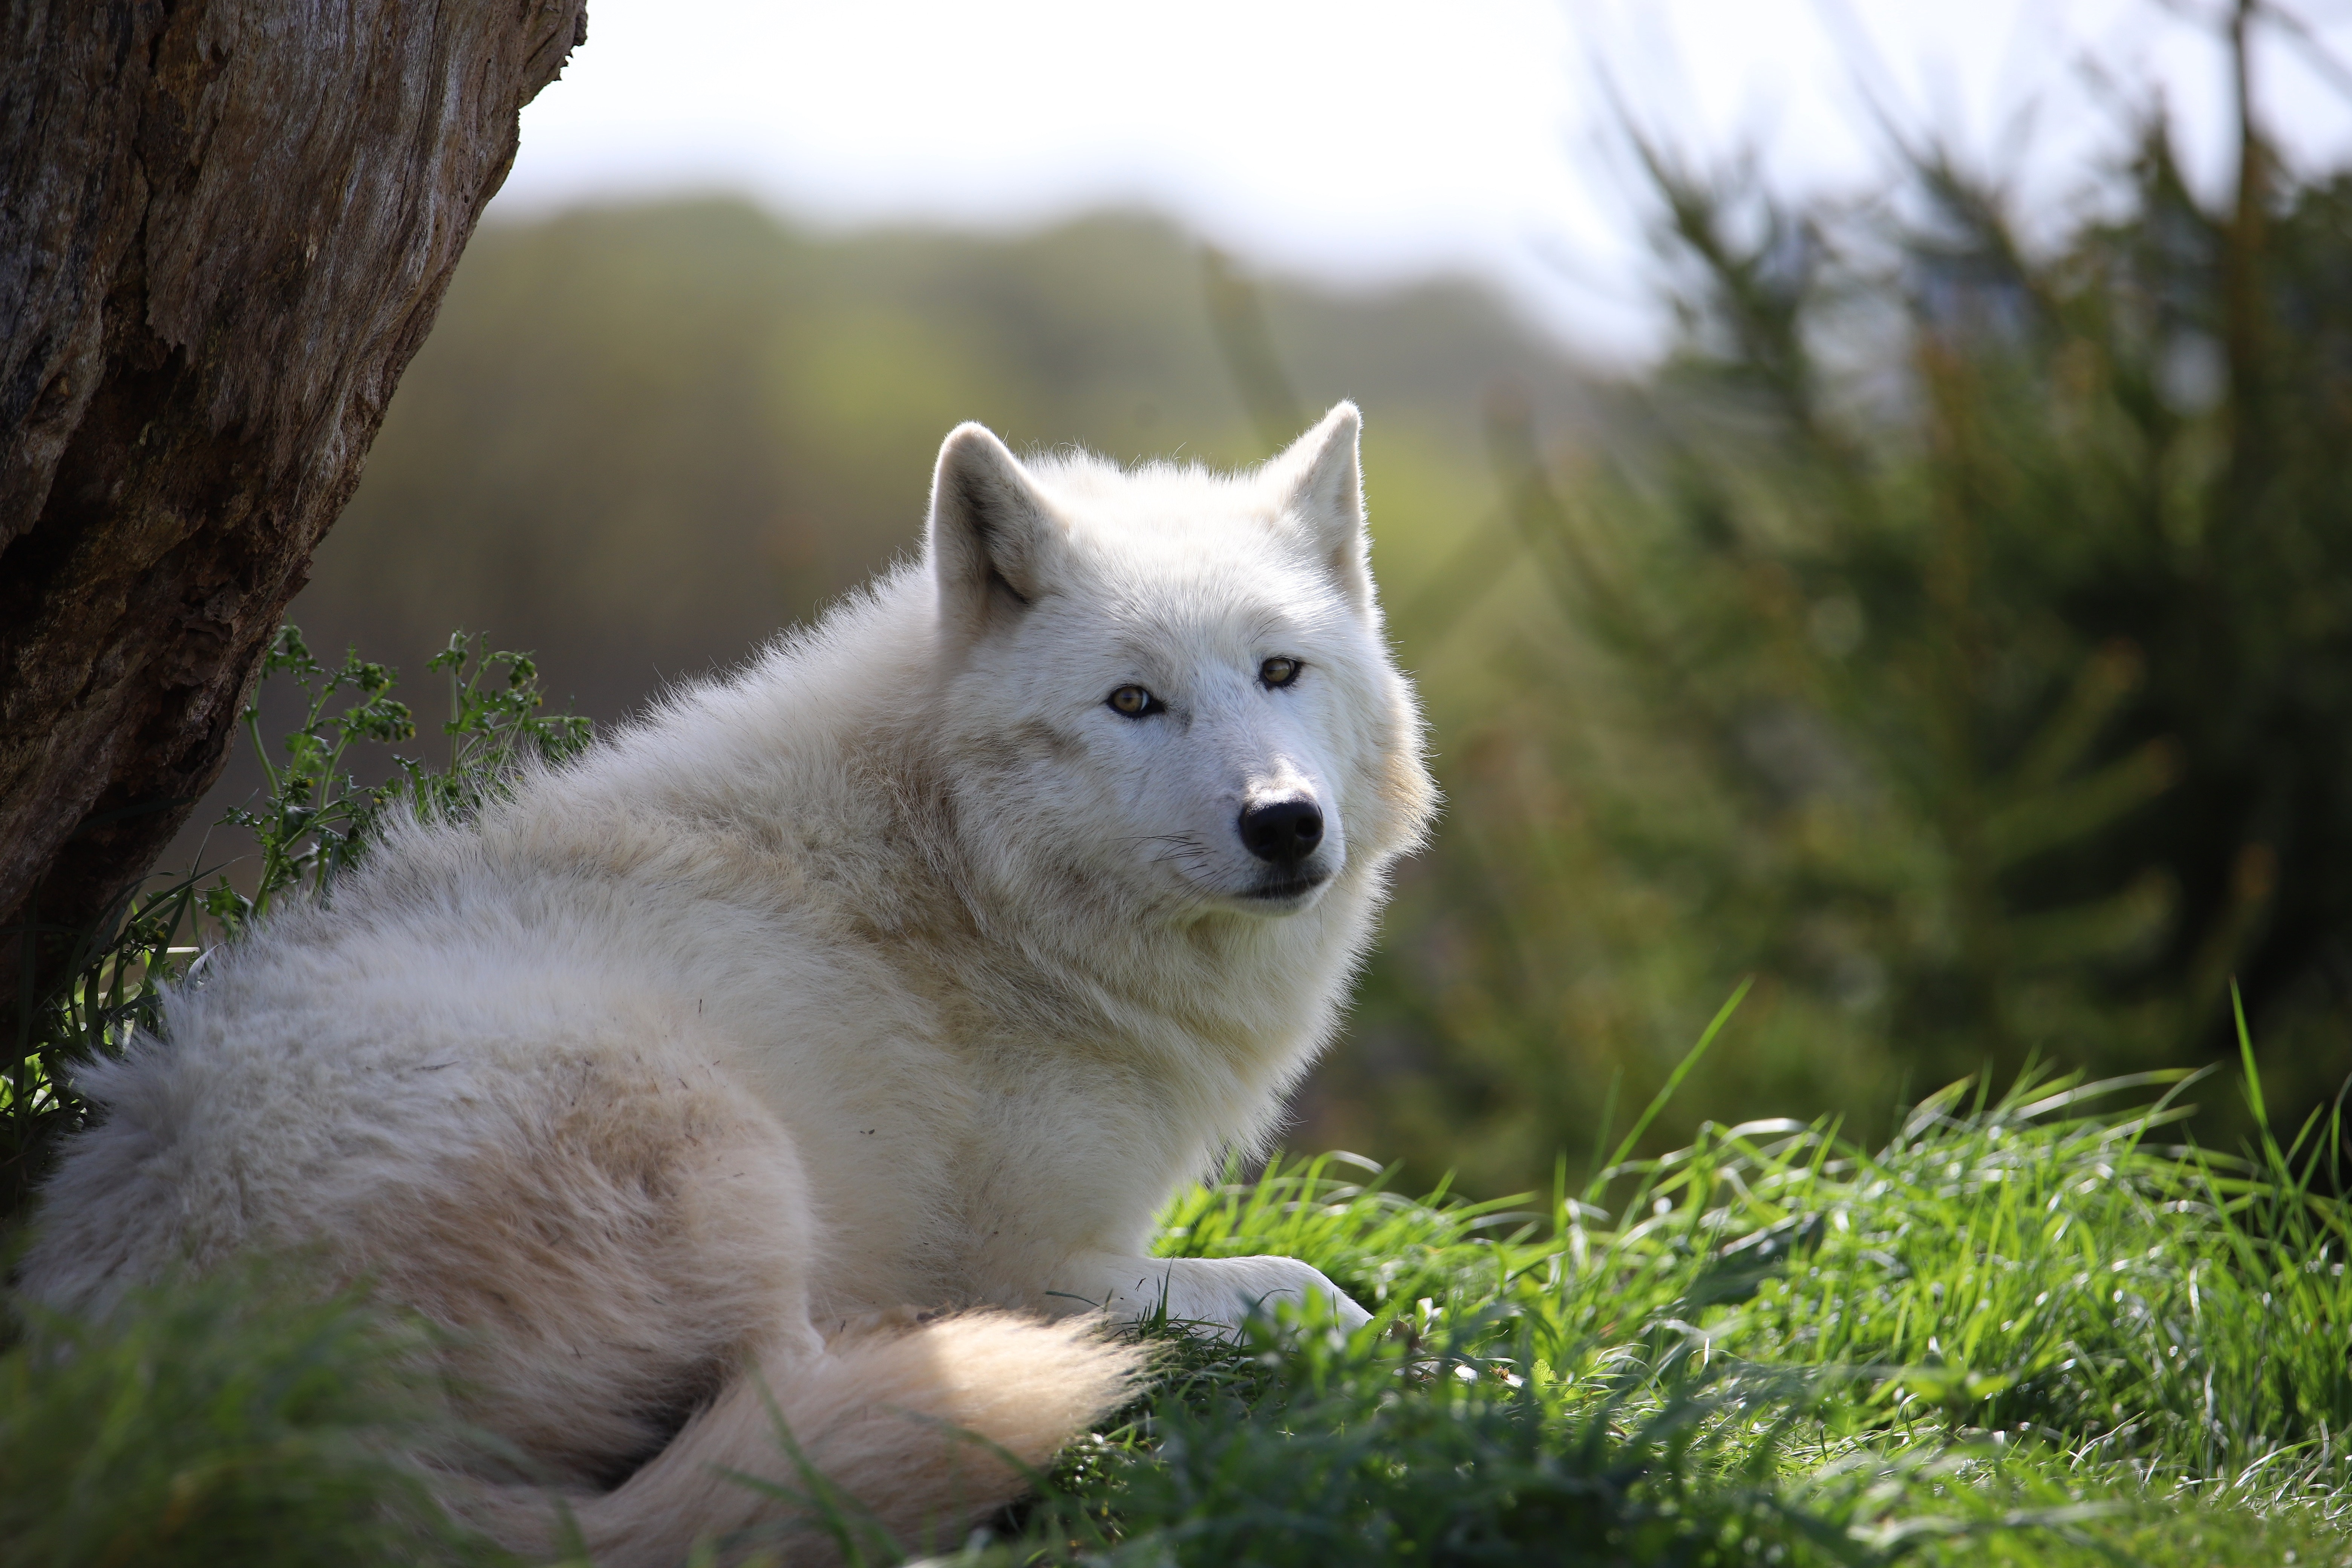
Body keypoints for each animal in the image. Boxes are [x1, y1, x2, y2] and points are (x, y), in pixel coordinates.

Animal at [23, 402, 1430, 1561]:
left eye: (1281, 671)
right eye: (1134, 701)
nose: (1285, 825)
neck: (968, 875)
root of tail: (278, 1428)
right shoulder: (1030, 1255)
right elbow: (1299, 1285)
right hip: (723, 1146)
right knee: (794, 1415)